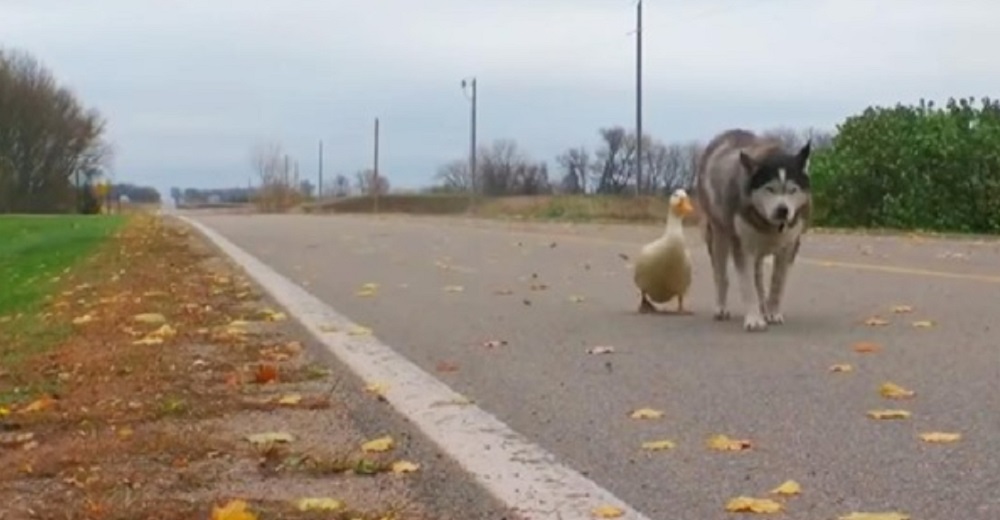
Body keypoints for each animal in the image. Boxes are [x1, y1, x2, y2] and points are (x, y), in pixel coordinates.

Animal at [696, 130, 812, 334]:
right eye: (769, 188)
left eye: (792, 189)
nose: (783, 210)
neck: (771, 225)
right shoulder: (742, 247)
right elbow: (747, 285)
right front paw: (754, 320)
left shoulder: (790, 246)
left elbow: (778, 283)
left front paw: (773, 313)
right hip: (718, 234)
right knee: (721, 274)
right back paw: (721, 308)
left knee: (758, 278)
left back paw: (763, 307)